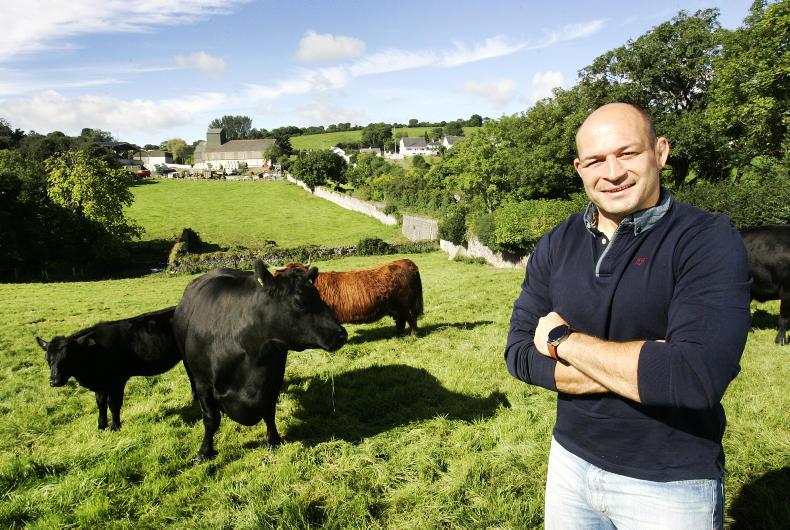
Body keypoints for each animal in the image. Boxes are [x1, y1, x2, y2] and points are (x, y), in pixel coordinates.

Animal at [35, 306, 180, 430]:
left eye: (68, 356)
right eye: (47, 358)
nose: (54, 381)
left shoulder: (118, 380)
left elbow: (113, 404)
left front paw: (115, 427)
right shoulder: (101, 385)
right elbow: (101, 404)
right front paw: (101, 426)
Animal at [172, 260, 347, 462]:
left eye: (319, 296)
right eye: (300, 302)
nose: (341, 334)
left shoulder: (273, 379)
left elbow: (269, 412)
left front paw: (274, 440)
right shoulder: (203, 383)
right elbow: (211, 419)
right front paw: (204, 451)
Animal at [279, 258, 424, 337]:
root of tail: (406, 262)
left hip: (407, 304)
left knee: (411, 319)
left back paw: (413, 336)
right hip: (397, 307)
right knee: (401, 320)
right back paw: (398, 335)